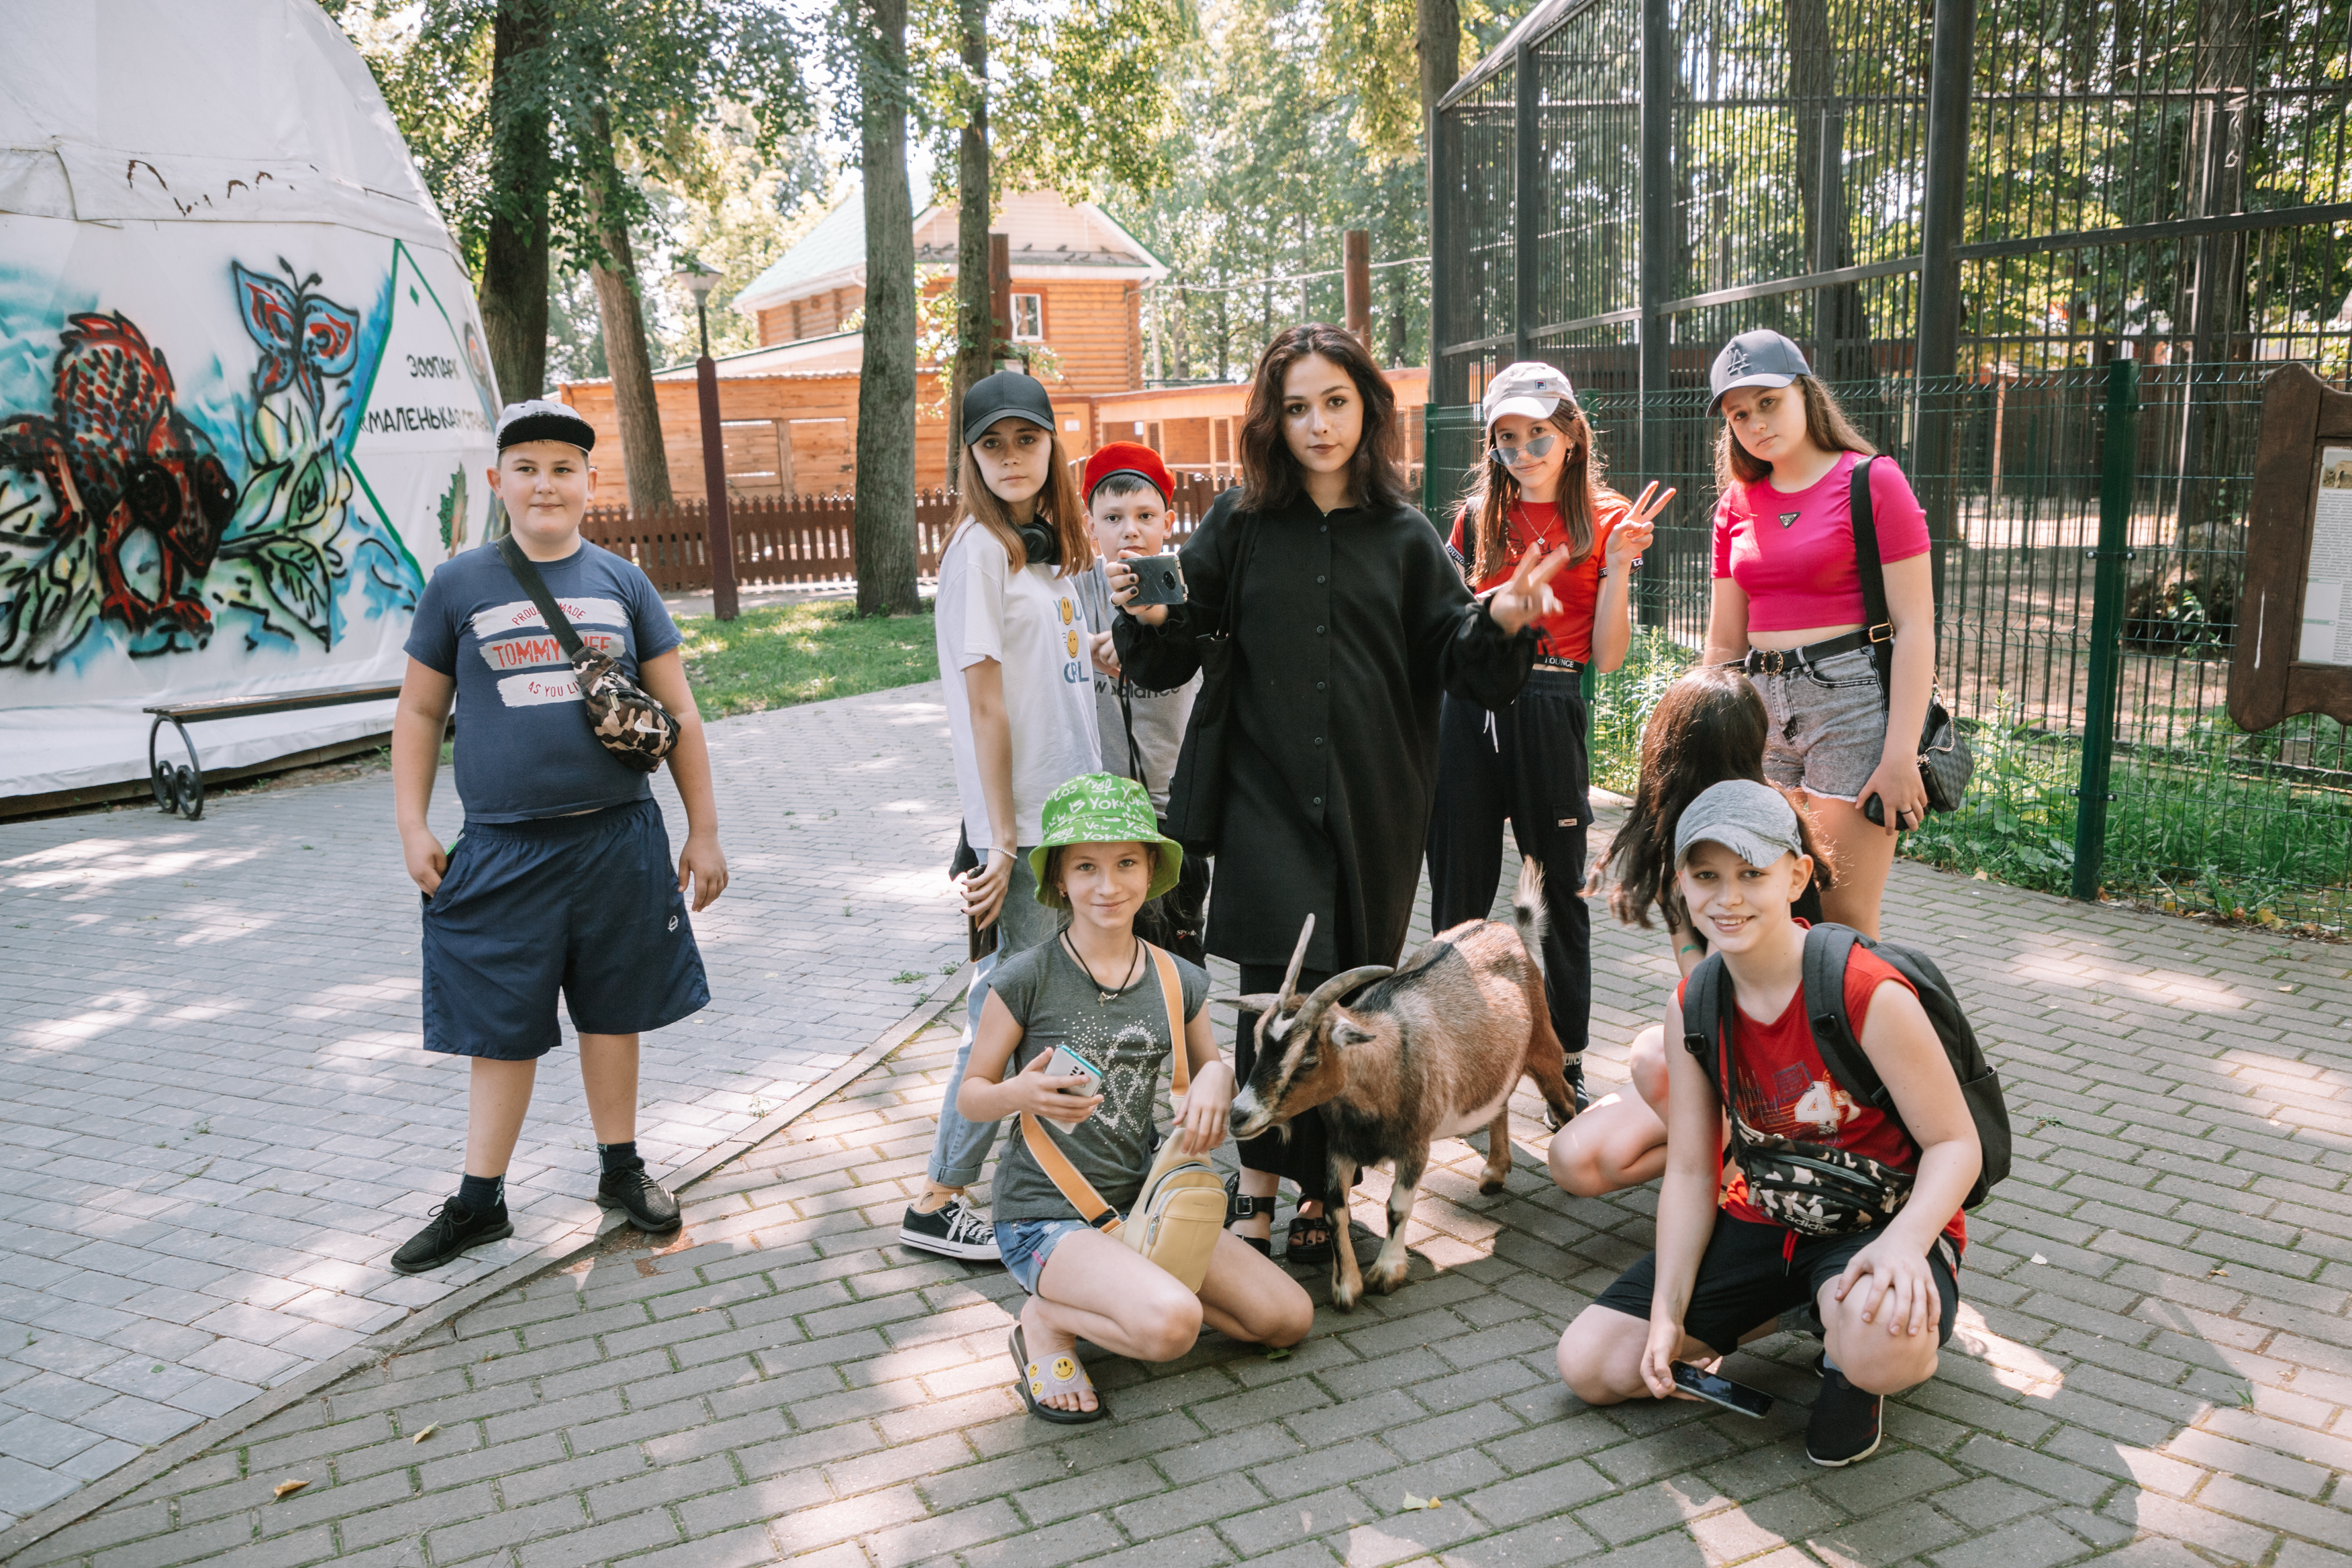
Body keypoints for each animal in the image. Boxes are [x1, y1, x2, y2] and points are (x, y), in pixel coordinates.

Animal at [1214, 860, 1580, 1316]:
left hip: (1543, 1046)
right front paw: (1347, 1286)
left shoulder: (1415, 1145)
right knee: (1501, 1100)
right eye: (1258, 1042)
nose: (1238, 1115)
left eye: (1308, 1059)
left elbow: (1397, 1207)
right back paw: (1495, 1172)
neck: (1383, 1062)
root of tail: (1509, 930)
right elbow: (1335, 1208)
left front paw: (1386, 1273)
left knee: (1565, 1101)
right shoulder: (1341, 1145)